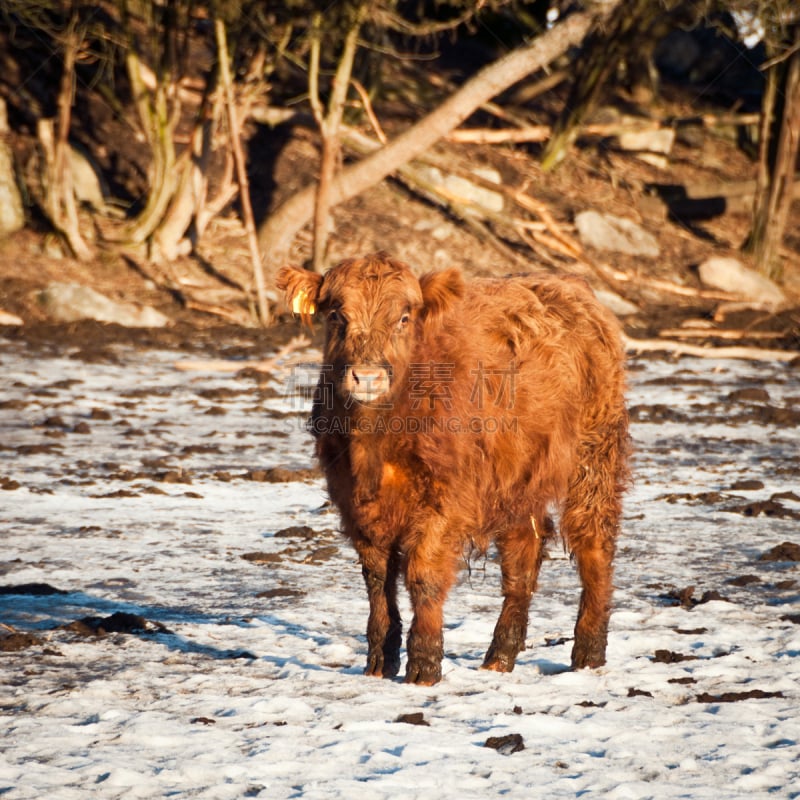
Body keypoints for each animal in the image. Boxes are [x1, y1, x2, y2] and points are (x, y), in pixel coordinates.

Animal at [278, 253, 628, 684]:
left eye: (404, 317)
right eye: (336, 315)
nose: (368, 376)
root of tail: (571, 284)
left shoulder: (445, 500)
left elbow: (423, 575)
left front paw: (424, 665)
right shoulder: (353, 501)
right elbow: (377, 579)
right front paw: (380, 660)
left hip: (594, 454)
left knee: (594, 542)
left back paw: (589, 653)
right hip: (517, 478)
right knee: (522, 554)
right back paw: (499, 656)